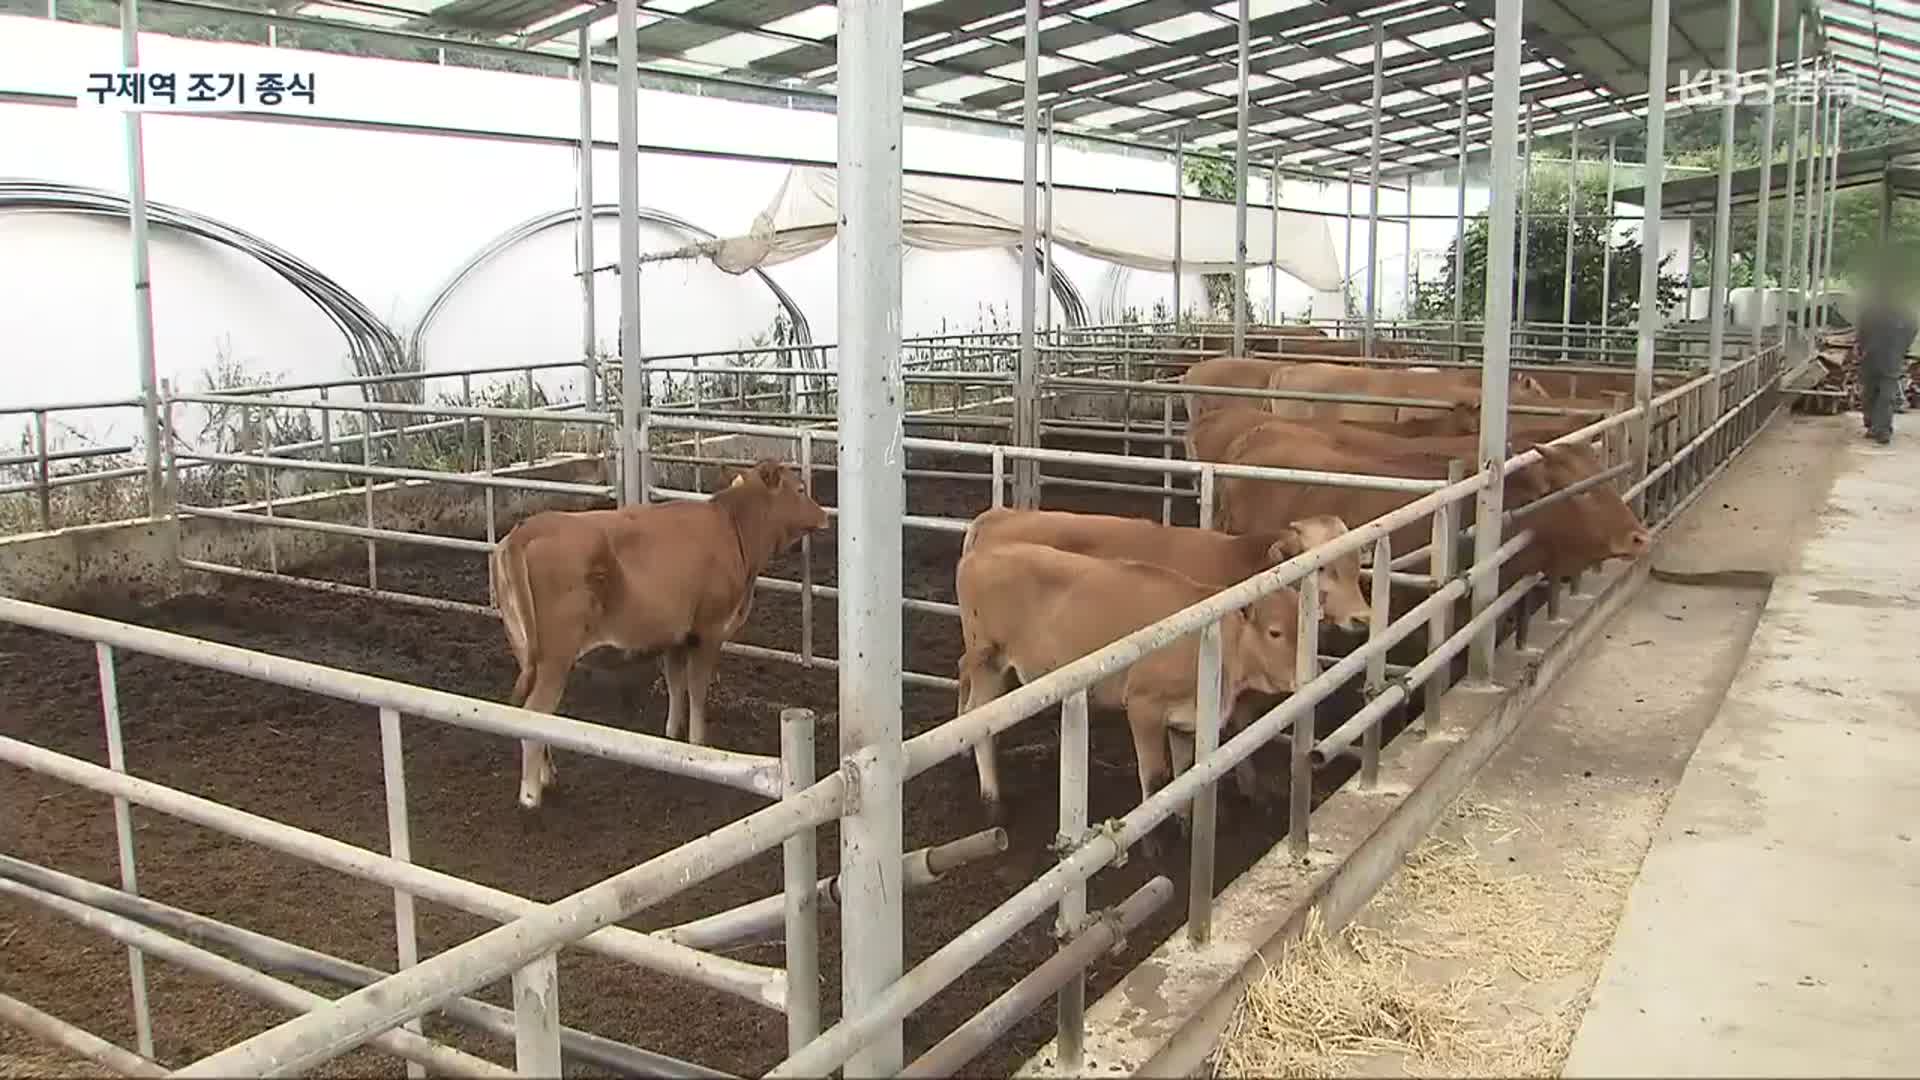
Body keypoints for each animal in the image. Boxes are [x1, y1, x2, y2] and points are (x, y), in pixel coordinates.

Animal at [487, 455, 825, 807]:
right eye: (801, 488)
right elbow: (697, 689)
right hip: (556, 656)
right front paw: (699, 743)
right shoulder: (708, 631)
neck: (734, 530)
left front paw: (673, 738)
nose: (825, 516)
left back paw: (547, 775)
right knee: (534, 710)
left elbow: (676, 686)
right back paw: (531, 794)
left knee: (538, 716)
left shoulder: (674, 636)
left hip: (525, 649)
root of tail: (526, 530)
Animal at [952, 538, 1297, 841]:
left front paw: (1185, 823)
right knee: (978, 719)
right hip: (988, 662)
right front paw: (1152, 843)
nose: (1305, 673)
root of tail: (978, 556)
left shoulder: (1185, 719)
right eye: (1275, 632)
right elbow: (1156, 777)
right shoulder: (1143, 706)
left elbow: (1184, 773)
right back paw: (993, 802)